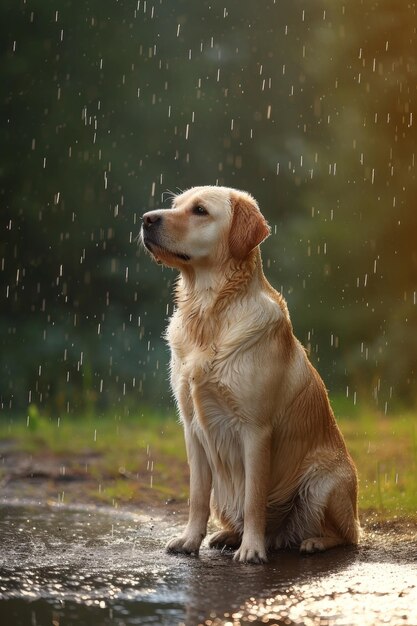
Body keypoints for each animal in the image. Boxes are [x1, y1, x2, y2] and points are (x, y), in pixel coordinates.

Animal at [141, 184, 358, 560]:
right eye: (175, 206)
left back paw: (311, 541)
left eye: (200, 210)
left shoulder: (256, 430)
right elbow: (197, 497)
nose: (145, 219)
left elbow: (254, 498)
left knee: (347, 534)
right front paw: (190, 540)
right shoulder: (192, 428)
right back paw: (229, 536)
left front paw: (252, 550)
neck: (209, 312)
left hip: (322, 482)